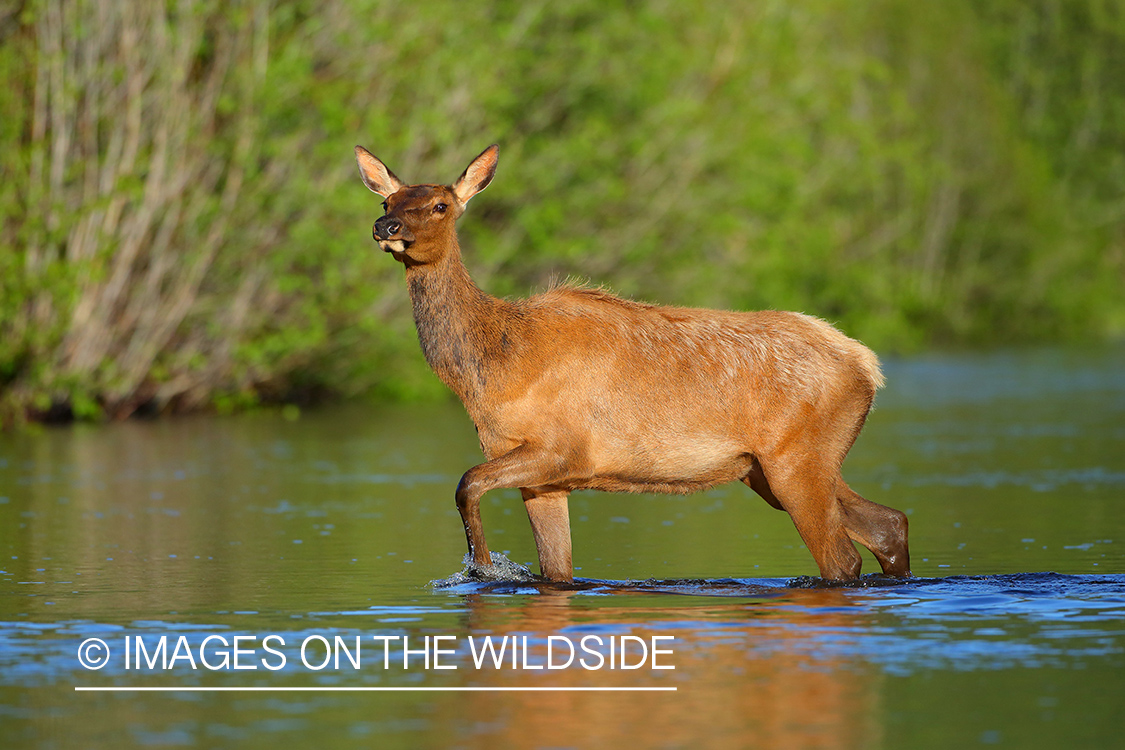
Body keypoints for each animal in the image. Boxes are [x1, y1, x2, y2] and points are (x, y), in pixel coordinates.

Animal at [355, 143, 909, 584]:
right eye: (386, 200)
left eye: (440, 204)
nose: (385, 225)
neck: (489, 369)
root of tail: (868, 366)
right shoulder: (544, 481)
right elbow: (557, 572)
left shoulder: (561, 449)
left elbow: (466, 482)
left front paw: (483, 568)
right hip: (773, 468)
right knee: (890, 524)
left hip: (797, 460)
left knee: (843, 560)